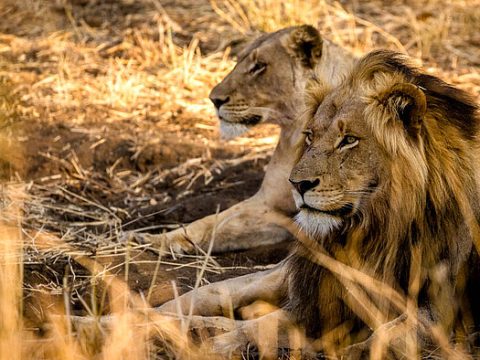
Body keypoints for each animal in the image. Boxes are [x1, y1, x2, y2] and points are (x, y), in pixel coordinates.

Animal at [129, 24, 354, 253]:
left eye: (259, 66)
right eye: (238, 61)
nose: (214, 100)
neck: (293, 135)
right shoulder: (265, 203)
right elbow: (211, 223)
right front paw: (151, 239)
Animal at [162, 50, 480, 358]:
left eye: (349, 140)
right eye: (310, 136)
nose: (297, 184)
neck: (374, 230)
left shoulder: (439, 312)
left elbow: (380, 339)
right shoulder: (310, 281)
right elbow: (224, 298)